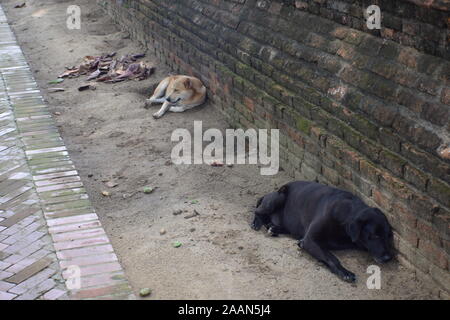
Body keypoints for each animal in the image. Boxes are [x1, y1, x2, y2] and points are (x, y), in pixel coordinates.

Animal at [253, 181, 394, 282]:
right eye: (374, 235)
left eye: (388, 235)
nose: (388, 258)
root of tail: (269, 193)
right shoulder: (309, 240)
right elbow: (331, 257)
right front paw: (345, 272)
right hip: (279, 196)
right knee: (257, 211)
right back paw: (256, 223)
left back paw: (274, 228)